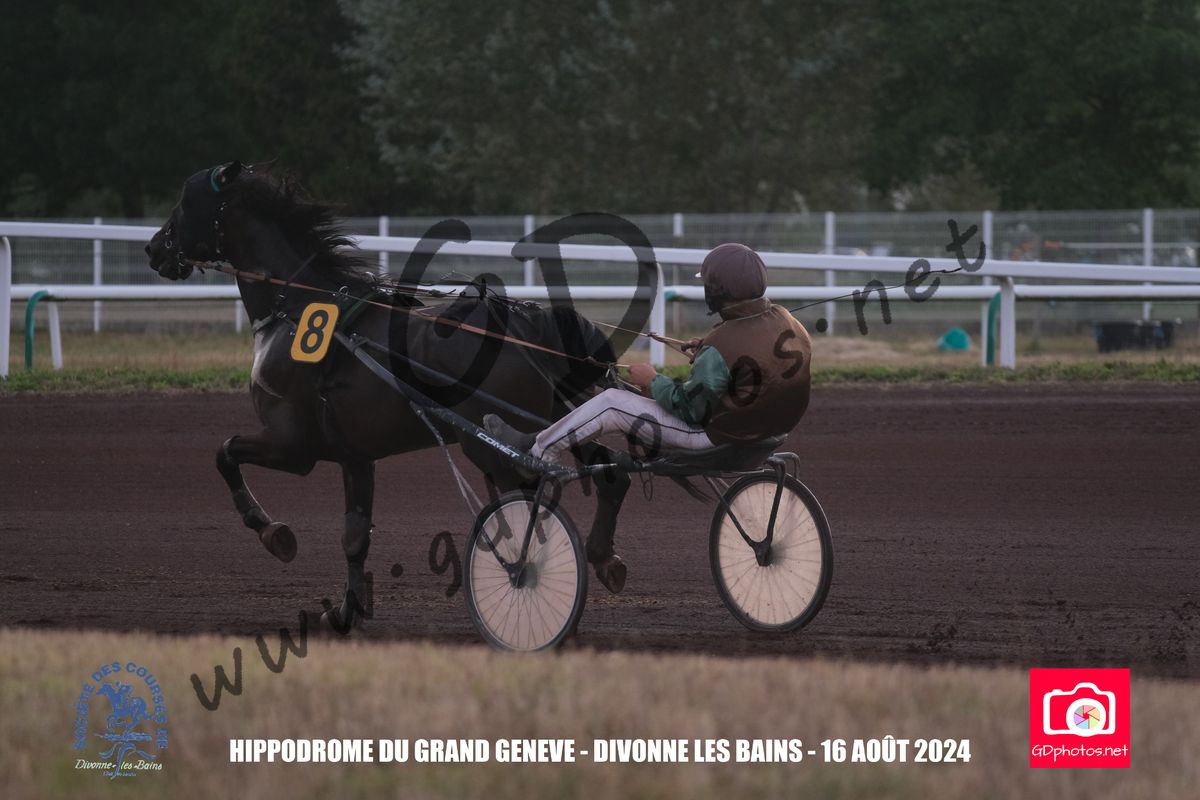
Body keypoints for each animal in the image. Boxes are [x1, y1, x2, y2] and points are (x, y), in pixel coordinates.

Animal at [144, 161, 641, 631]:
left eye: (184, 204)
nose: (153, 248)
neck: (298, 309)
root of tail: (528, 321)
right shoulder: (355, 455)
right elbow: (354, 535)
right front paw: (345, 610)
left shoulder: (293, 445)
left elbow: (225, 452)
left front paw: (274, 534)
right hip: (562, 416)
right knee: (612, 473)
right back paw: (604, 557)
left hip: (493, 446)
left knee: (538, 503)